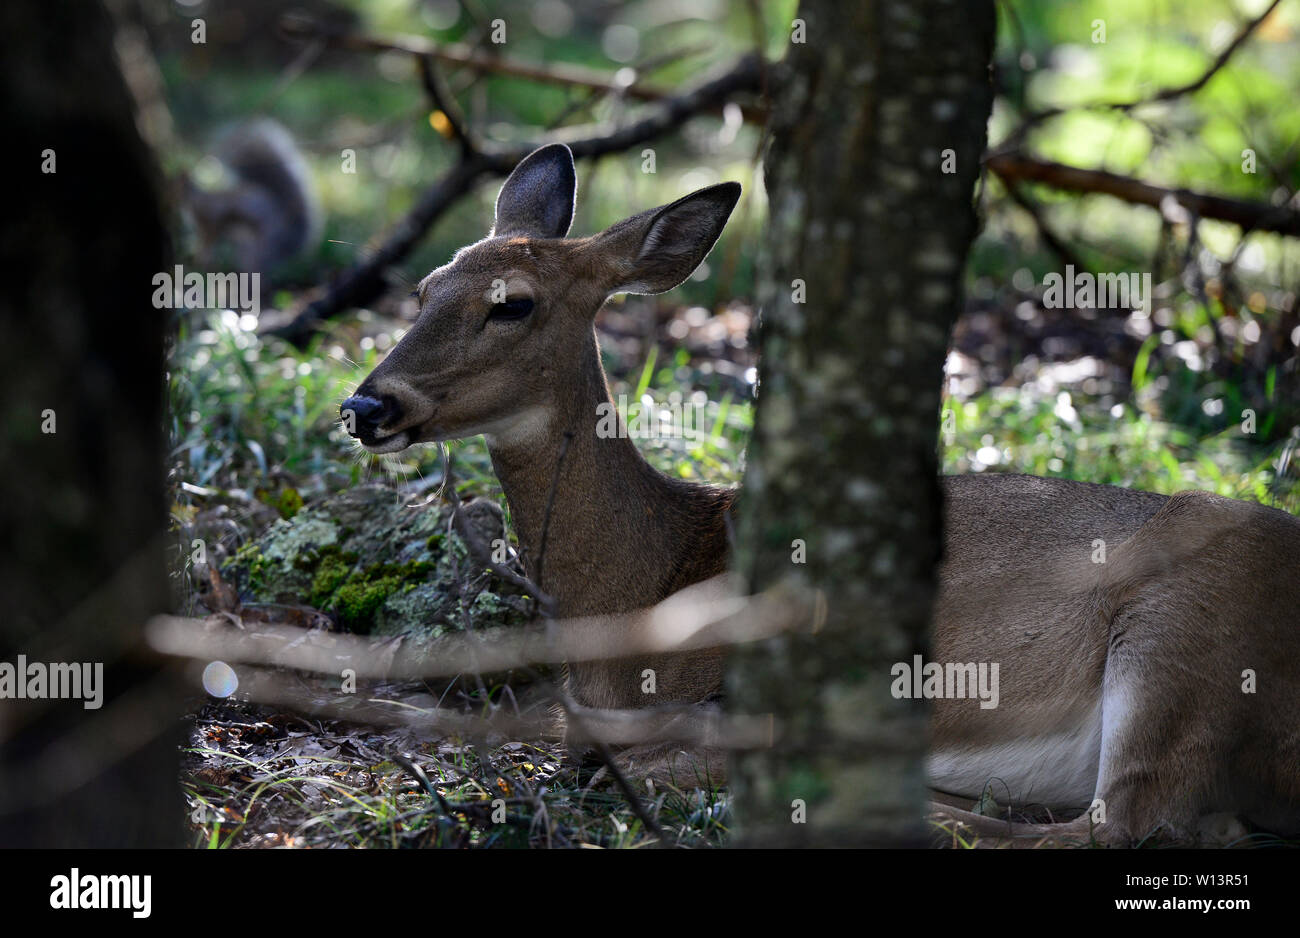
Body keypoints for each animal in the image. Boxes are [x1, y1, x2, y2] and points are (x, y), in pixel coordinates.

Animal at [343, 140, 1300, 841]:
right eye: (425, 288)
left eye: (515, 303)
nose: (365, 405)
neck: (642, 586)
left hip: (1188, 630)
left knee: (1112, 825)